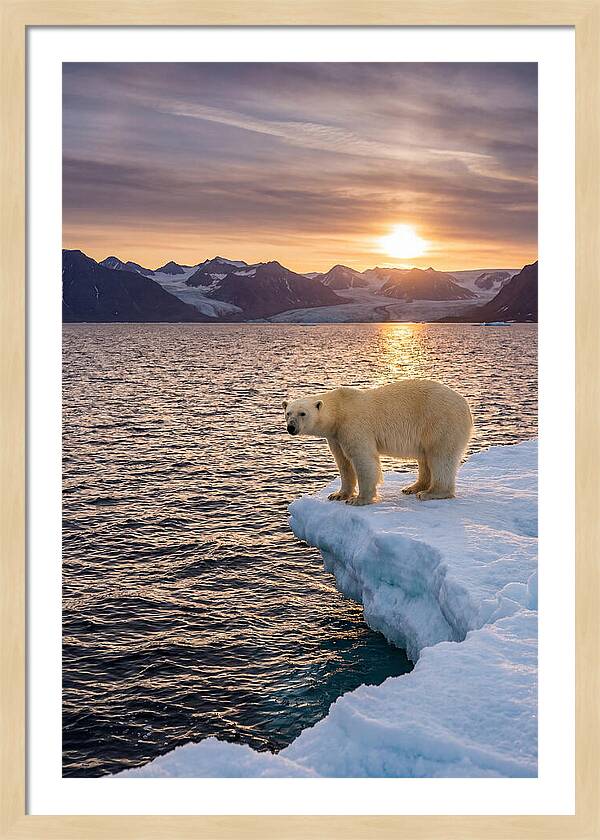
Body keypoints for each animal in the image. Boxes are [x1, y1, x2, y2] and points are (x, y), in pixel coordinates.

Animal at [282, 379, 473, 505]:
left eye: (302, 413)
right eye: (288, 412)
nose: (291, 427)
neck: (340, 410)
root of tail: (466, 404)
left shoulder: (354, 425)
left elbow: (363, 459)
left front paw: (359, 499)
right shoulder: (336, 436)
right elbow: (343, 462)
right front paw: (338, 495)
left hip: (440, 422)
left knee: (440, 456)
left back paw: (430, 493)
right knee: (425, 458)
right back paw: (413, 487)